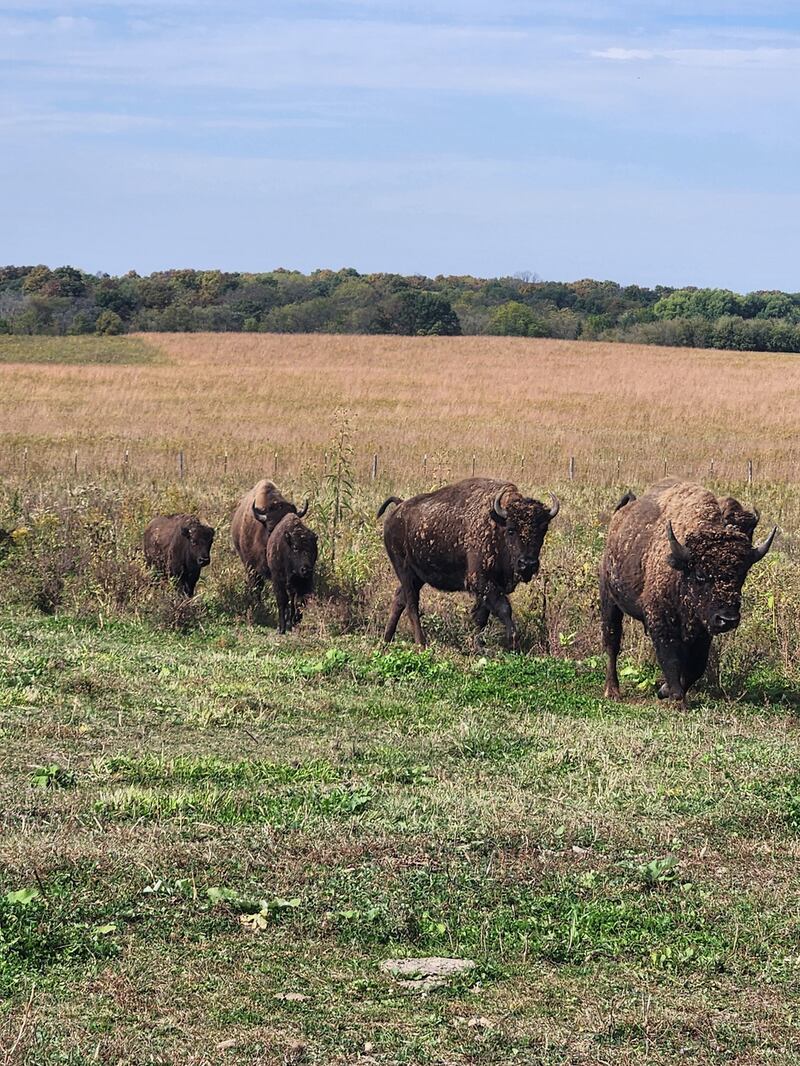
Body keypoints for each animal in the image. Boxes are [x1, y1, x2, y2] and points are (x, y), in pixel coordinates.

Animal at [377, 477, 559, 650]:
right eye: (511, 530)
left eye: (543, 529)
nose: (527, 563)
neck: (497, 525)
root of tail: (399, 507)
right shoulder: (480, 580)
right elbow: (503, 608)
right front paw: (512, 641)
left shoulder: (490, 586)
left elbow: (481, 617)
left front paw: (477, 645)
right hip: (405, 571)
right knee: (411, 605)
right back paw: (421, 644)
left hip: (418, 576)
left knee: (399, 600)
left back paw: (386, 641)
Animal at [600, 478, 777, 704]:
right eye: (700, 574)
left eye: (742, 573)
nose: (727, 619)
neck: (682, 569)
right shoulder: (662, 621)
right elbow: (671, 659)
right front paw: (677, 699)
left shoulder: (703, 629)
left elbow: (695, 667)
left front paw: (664, 690)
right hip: (609, 599)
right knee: (612, 642)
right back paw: (612, 691)